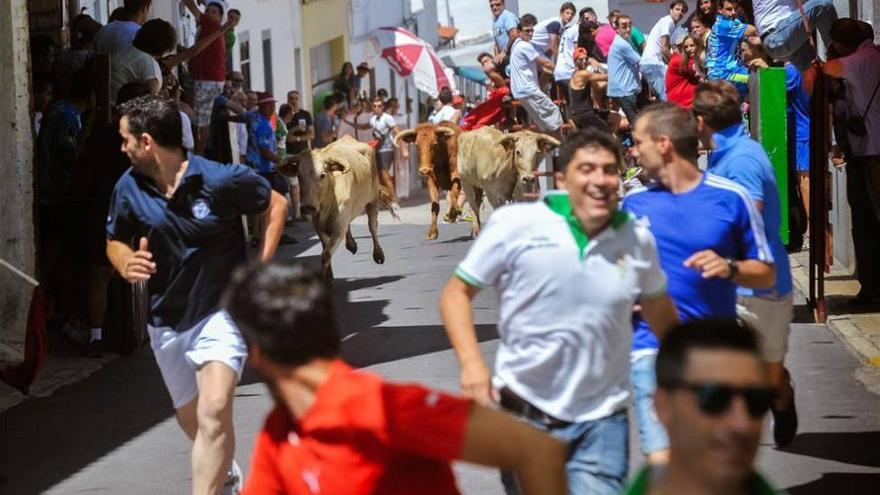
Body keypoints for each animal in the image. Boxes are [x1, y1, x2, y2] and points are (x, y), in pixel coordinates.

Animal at [276, 136, 398, 280]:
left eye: (322, 175)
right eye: (299, 175)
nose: (307, 207)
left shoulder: (338, 228)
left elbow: (326, 254)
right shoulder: (318, 226)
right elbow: (325, 250)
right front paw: (329, 274)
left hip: (372, 201)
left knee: (372, 226)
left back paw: (378, 254)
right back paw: (351, 244)